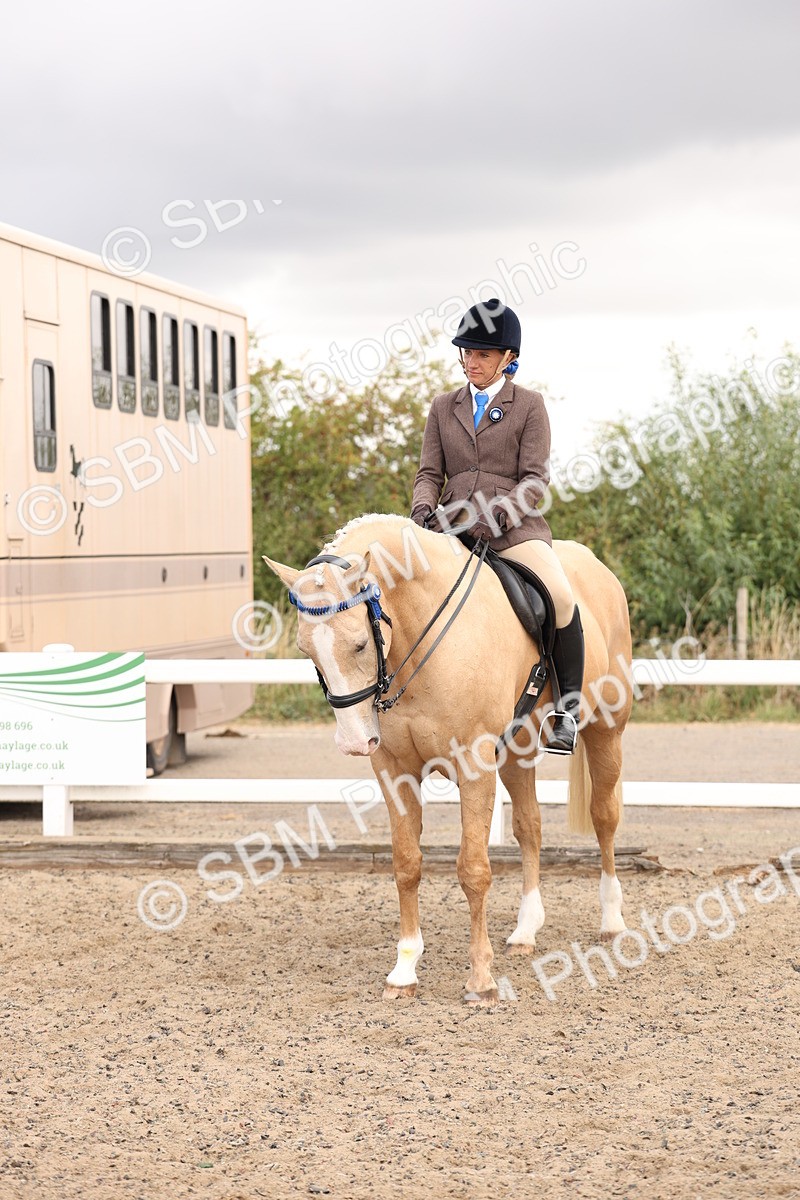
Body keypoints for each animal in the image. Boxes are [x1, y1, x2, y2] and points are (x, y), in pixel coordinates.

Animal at [263, 513, 633, 1006]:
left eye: (360, 644)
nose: (356, 742)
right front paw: (404, 970)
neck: (418, 640)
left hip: (606, 729)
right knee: (530, 827)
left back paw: (612, 921)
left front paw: (481, 980)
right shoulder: (394, 770)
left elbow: (473, 870)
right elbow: (406, 865)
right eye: (307, 650)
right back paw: (525, 931)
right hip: (516, 751)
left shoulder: (474, 766)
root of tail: (596, 566)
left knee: (604, 816)